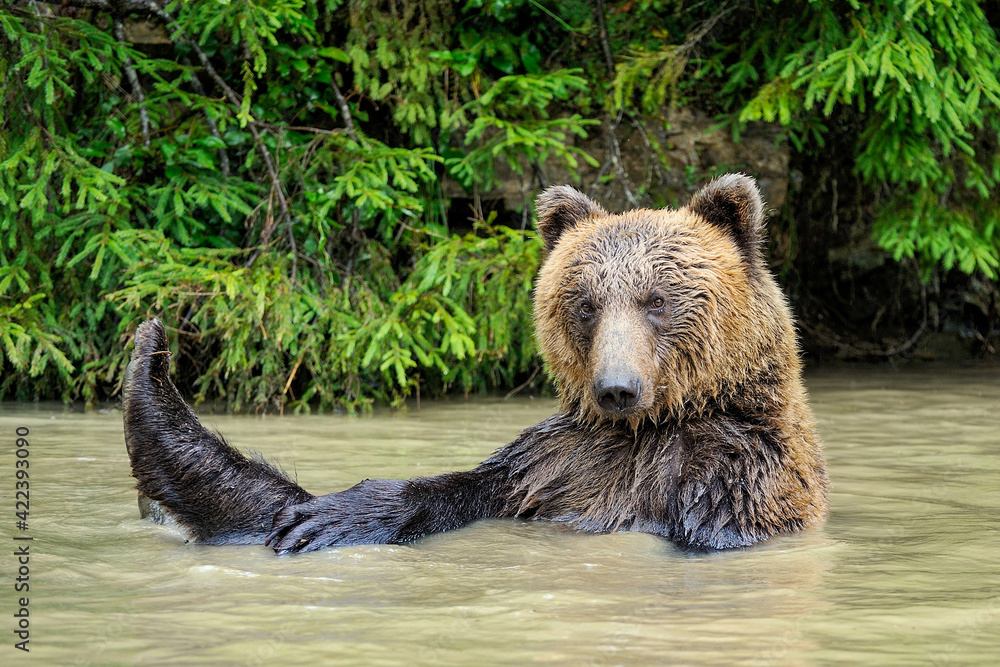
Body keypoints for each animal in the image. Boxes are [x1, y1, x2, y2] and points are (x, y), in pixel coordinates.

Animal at [122, 173, 828, 554]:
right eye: (586, 303)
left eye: (657, 300)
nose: (616, 389)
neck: (648, 430)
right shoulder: (554, 464)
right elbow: (453, 489)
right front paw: (328, 516)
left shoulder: (733, 472)